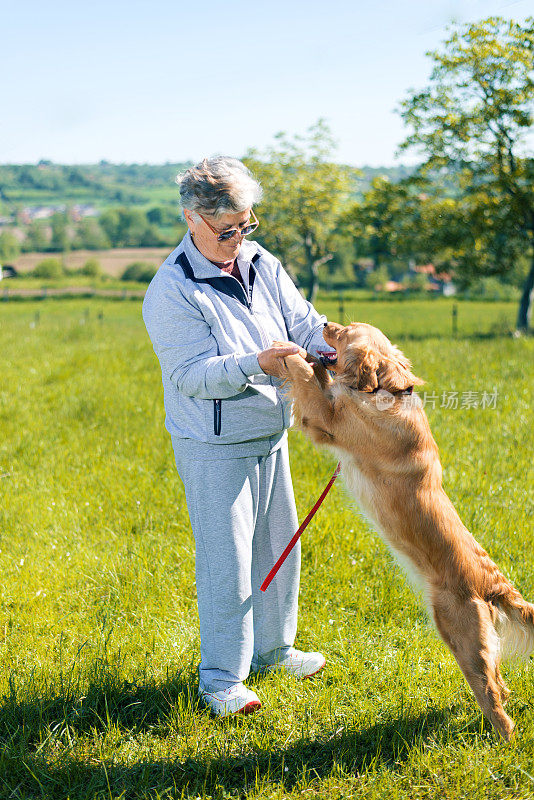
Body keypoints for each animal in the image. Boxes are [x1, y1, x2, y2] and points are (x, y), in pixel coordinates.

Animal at [286, 322, 534, 740]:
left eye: (345, 332)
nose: (323, 324)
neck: (385, 389)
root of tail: (492, 582)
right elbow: (318, 375)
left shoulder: (327, 421)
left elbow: (308, 379)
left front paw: (285, 354)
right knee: (500, 685)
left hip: (463, 639)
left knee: (495, 702)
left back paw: (499, 740)